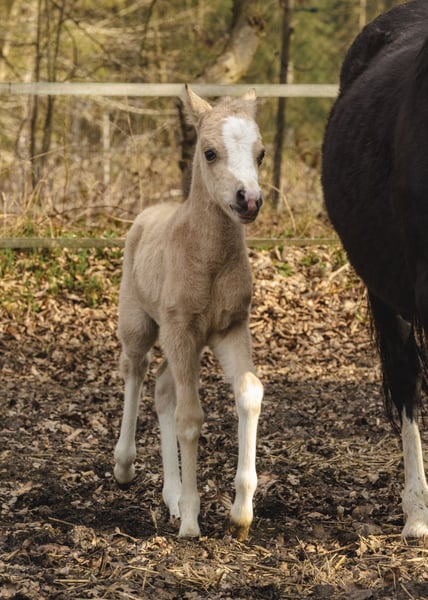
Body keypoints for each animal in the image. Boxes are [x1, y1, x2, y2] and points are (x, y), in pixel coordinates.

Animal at [113, 85, 265, 540]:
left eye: (261, 153)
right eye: (210, 152)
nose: (250, 200)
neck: (208, 258)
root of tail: (145, 215)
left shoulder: (229, 329)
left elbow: (249, 392)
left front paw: (240, 515)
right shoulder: (182, 330)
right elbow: (190, 418)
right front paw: (193, 521)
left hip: (186, 342)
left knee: (163, 388)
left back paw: (171, 496)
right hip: (141, 325)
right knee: (136, 370)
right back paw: (124, 466)